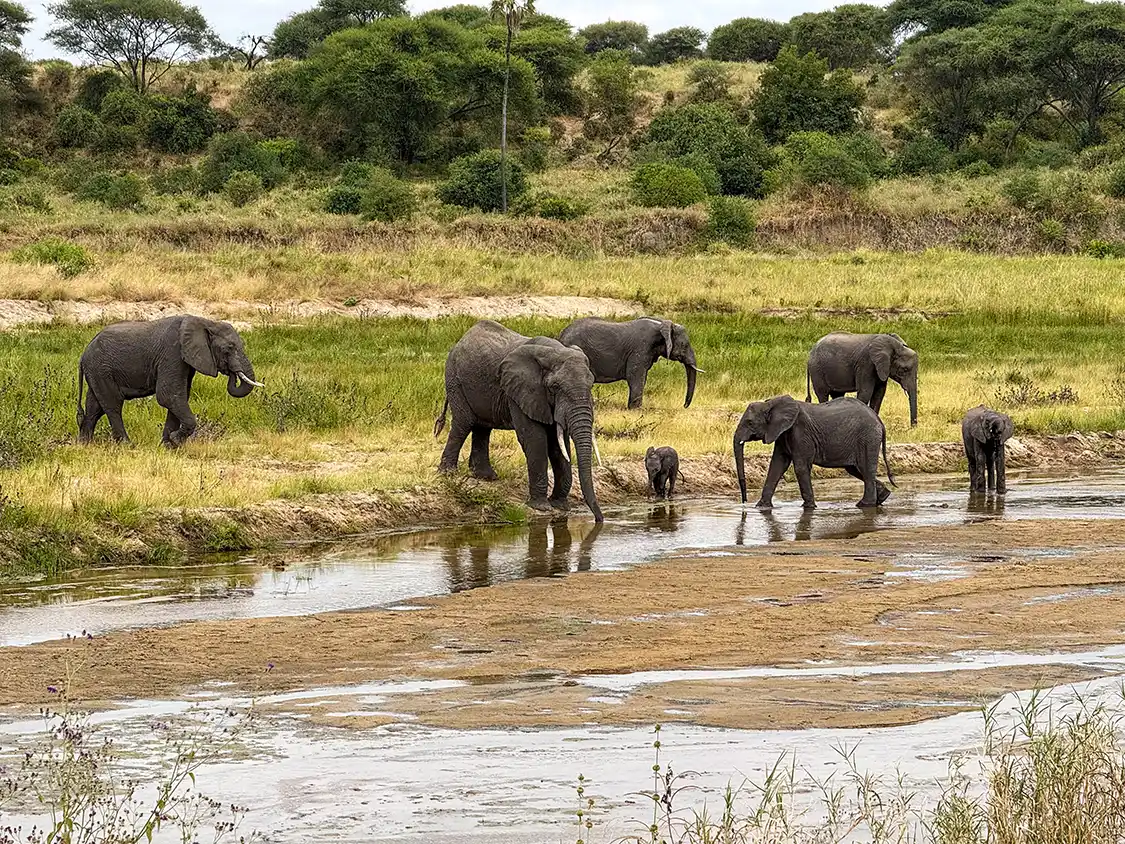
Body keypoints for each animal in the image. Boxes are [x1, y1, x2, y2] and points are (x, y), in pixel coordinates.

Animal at [77, 315, 262, 448]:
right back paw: (127, 446)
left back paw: (85, 444)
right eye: (229, 348)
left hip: (98, 371)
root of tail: (84, 353)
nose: (232, 373)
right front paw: (175, 440)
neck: (205, 321)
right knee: (113, 404)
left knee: (95, 406)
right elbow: (168, 395)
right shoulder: (172, 353)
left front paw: (168, 446)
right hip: (101, 368)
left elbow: (179, 397)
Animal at [434, 320, 604, 522]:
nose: (599, 520)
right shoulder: (520, 391)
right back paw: (448, 474)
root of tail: (460, 341)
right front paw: (542, 507)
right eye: (555, 387)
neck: (553, 351)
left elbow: (559, 444)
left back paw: (486, 477)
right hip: (455, 379)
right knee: (463, 424)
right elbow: (535, 439)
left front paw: (560, 506)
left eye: (591, 384)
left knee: (482, 428)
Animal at [558, 317, 703, 409]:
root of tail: (561, 335)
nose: (684, 406)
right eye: (684, 345)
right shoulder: (640, 348)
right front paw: (635, 409)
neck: (661, 324)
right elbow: (635, 376)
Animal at [733, 395, 895, 510]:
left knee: (865, 469)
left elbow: (800, 467)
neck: (770, 403)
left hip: (868, 437)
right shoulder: (782, 433)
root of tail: (879, 420)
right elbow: (777, 465)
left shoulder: (800, 432)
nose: (744, 503)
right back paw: (882, 497)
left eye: (749, 422)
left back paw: (865, 505)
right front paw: (761, 507)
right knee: (855, 469)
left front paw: (809, 507)